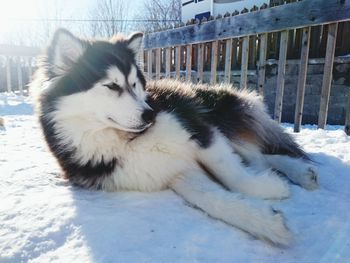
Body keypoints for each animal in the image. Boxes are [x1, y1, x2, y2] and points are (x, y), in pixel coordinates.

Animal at [31, 28, 318, 248]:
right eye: (111, 86)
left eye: (134, 84)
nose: (150, 115)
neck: (128, 140)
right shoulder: (169, 170)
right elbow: (207, 197)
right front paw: (267, 222)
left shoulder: (197, 128)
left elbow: (232, 175)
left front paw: (268, 191)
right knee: (259, 157)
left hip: (216, 115)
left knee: (260, 155)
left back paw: (298, 173)